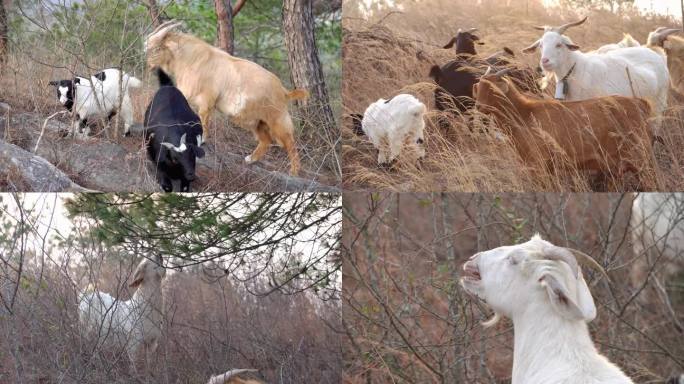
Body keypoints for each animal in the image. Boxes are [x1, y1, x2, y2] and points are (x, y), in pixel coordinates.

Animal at [146, 21, 308, 176]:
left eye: (157, 48)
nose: (149, 64)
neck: (192, 59)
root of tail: (283, 91)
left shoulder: (206, 101)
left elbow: (203, 120)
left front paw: (202, 140)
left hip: (277, 120)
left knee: (290, 143)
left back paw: (294, 172)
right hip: (257, 122)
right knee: (266, 140)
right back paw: (251, 159)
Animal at [472, 68, 660, 190]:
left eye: (492, 89)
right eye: (479, 87)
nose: (478, 106)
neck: (524, 114)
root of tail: (640, 103)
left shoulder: (537, 164)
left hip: (641, 160)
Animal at [524, 18, 668, 117]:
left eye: (559, 44)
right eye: (541, 45)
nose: (544, 61)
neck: (577, 70)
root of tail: (656, 53)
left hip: (658, 105)